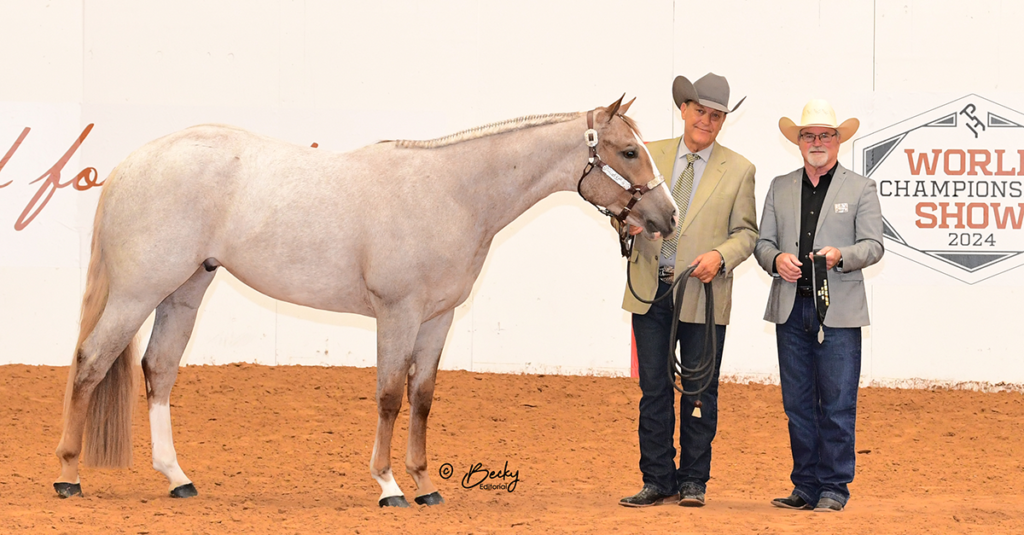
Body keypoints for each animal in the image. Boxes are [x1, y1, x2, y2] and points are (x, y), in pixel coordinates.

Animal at [56, 94, 679, 504]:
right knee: (90, 363)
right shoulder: (397, 313)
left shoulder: (437, 318)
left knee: (158, 370)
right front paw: (388, 485)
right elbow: (388, 397)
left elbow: (422, 398)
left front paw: (426, 485)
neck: (452, 192)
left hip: (185, 289)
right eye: (629, 151)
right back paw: (68, 475)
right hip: (139, 290)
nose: (668, 217)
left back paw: (178, 478)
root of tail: (132, 164)